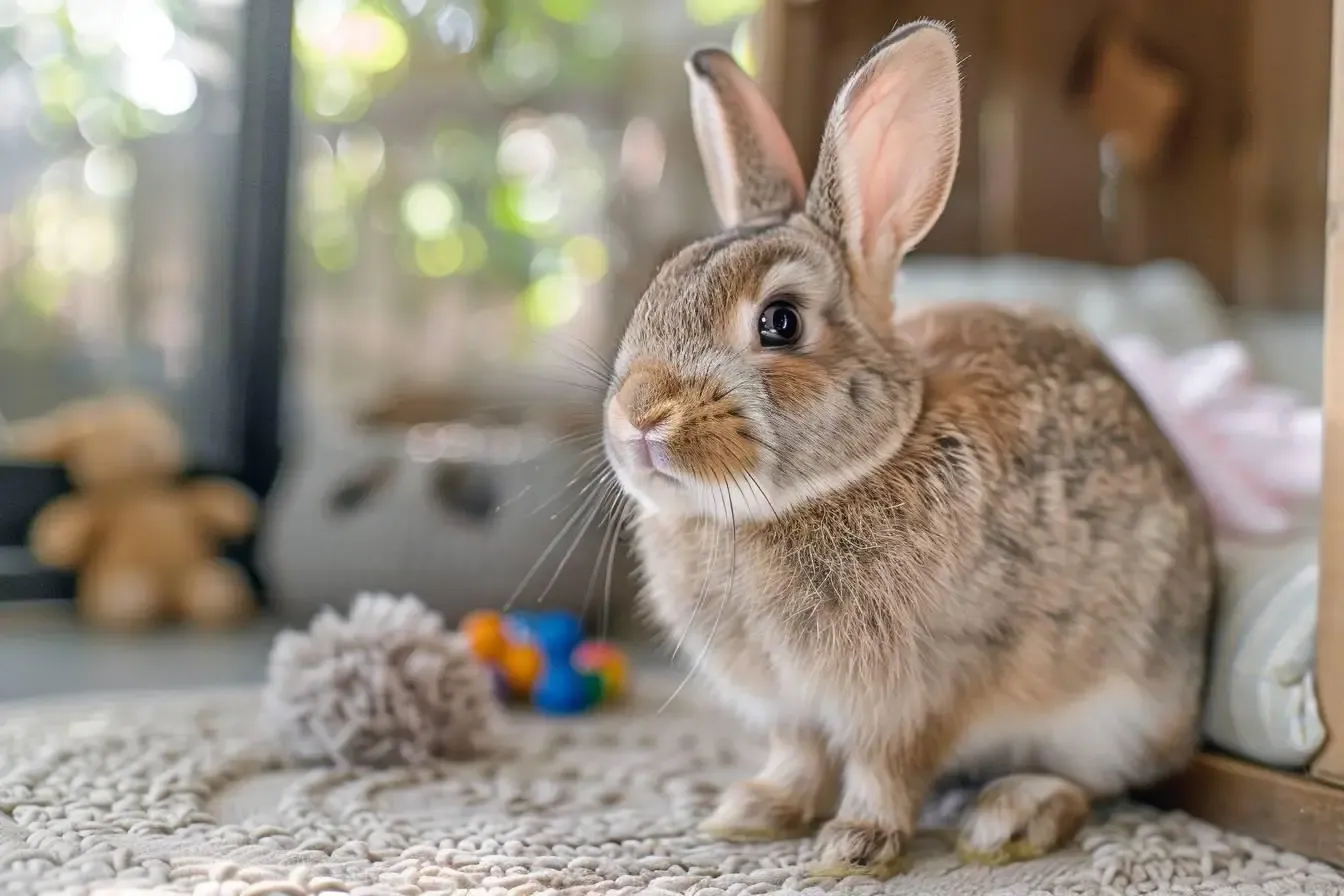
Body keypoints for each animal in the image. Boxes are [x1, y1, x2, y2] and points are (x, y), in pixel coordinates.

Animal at [601, 19, 1216, 879]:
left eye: (780, 323)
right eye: (658, 288)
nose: (640, 417)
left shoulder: (917, 692)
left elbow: (887, 767)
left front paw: (854, 846)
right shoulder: (791, 705)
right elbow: (798, 755)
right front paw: (754, 812)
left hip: (1111, 711)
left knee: (1093, 784)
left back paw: (1008, 818)